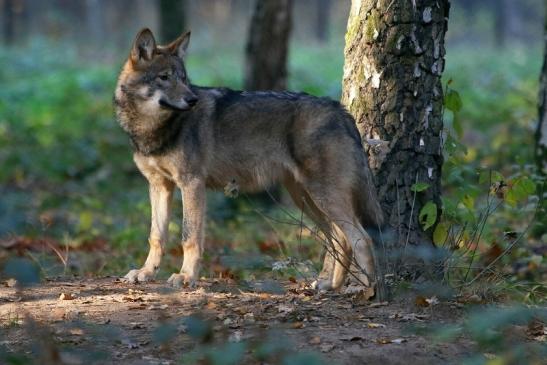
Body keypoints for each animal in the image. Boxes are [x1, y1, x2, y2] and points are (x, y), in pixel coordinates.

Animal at [113, 27, 384, 290]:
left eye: (183, 78)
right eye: (164, 77)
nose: (192, 100)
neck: (154, 129)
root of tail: (341, 110)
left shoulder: (191, 184)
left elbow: (189, 238)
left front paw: (186, 276)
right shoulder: (159, 185)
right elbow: (156, 236)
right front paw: (146, 273)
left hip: (322, 196)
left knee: (361, 237)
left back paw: (364, 289)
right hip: (306, 198)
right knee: (339, 239)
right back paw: (330, 284)